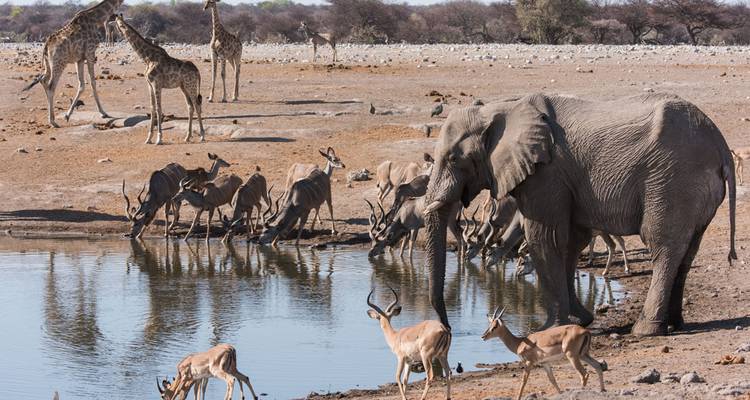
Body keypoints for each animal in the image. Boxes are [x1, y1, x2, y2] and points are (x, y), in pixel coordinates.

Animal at [423, 93, 736, 337]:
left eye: (454, 159)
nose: (449, 329)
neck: (500, 108)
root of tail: (720, 144)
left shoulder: (546, 174)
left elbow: (545, 239)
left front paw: (547, 328)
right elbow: (571, 243)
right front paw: (580, 319)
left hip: (672, 181)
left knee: (664, 248)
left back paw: (646, 330)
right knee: (687, 252)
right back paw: (674, 325)